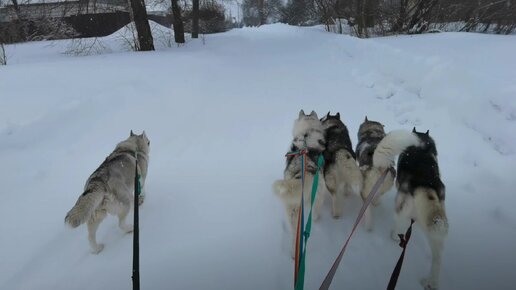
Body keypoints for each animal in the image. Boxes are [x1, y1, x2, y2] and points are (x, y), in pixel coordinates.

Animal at [274, 110, 326, 258]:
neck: (306, 136)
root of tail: (304, 176)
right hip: (316, 199)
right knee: (314, 215)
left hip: (293, 210)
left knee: (294, 235)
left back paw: (293, 253)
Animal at [372, 128, 450, 288]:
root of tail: (425, 186)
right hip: (436, 230)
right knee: (437, 259)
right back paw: (431, 283)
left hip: (402, 211)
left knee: (398, 228)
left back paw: (394, 236)